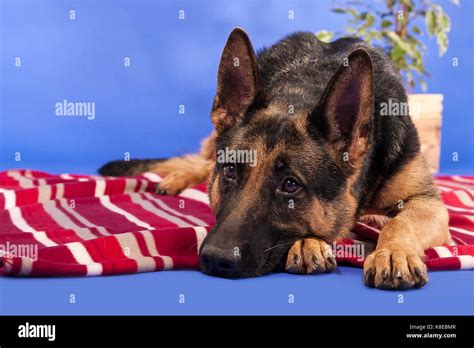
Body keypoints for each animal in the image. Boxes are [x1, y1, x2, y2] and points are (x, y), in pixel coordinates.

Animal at [99, 28, 448, 290]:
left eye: (291, 185)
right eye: (230, 171)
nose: (214, 258)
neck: (303, 89)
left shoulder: (428, 203)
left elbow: (402, 222)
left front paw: (393, 253)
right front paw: (309, 243)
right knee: (201, 160)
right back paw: (178, 178)